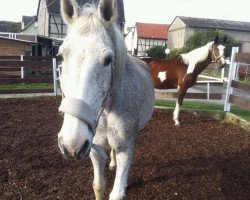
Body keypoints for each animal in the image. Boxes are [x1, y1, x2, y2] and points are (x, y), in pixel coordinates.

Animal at [57, 0, 154, 199]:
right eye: (61, 56)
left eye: (109, 59)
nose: (71, 144)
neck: (109, 110)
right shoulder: (93, 147)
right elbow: (99, 186)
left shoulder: (125, 148)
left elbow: (116, 192)